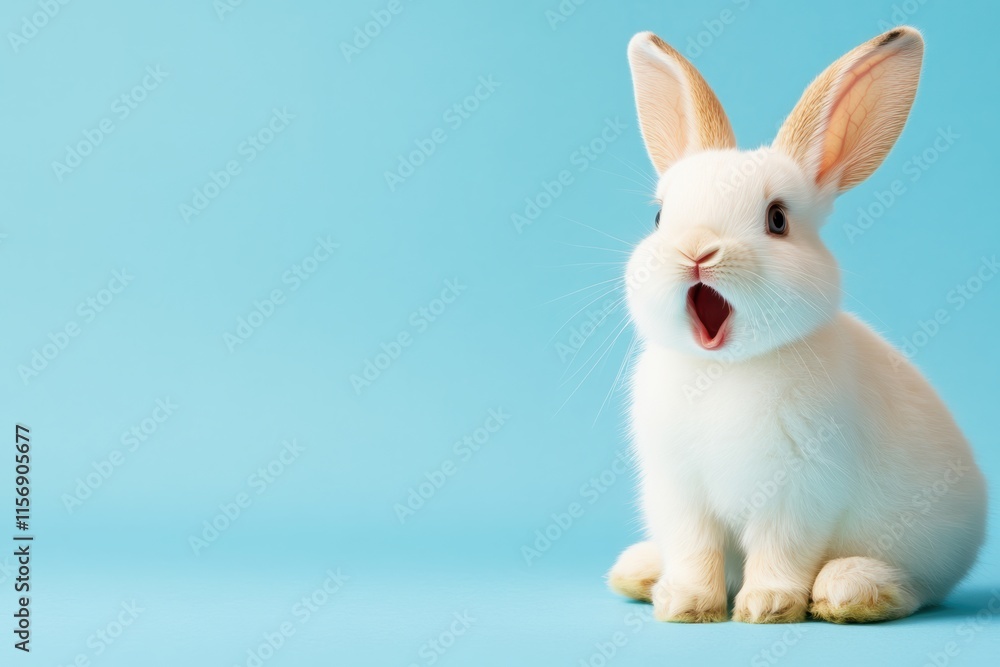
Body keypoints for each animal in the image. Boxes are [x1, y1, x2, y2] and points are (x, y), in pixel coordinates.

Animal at [607, 26, 987, 624]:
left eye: (777, 220)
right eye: (660, 217)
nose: (697, 251)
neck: (726, 369)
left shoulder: (798, 491)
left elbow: (779, 549)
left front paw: (766, 606)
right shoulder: (680, 492)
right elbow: (695, 550)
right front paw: (686, 603)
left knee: (914, 589)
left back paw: (849, 591)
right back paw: (640, 571)